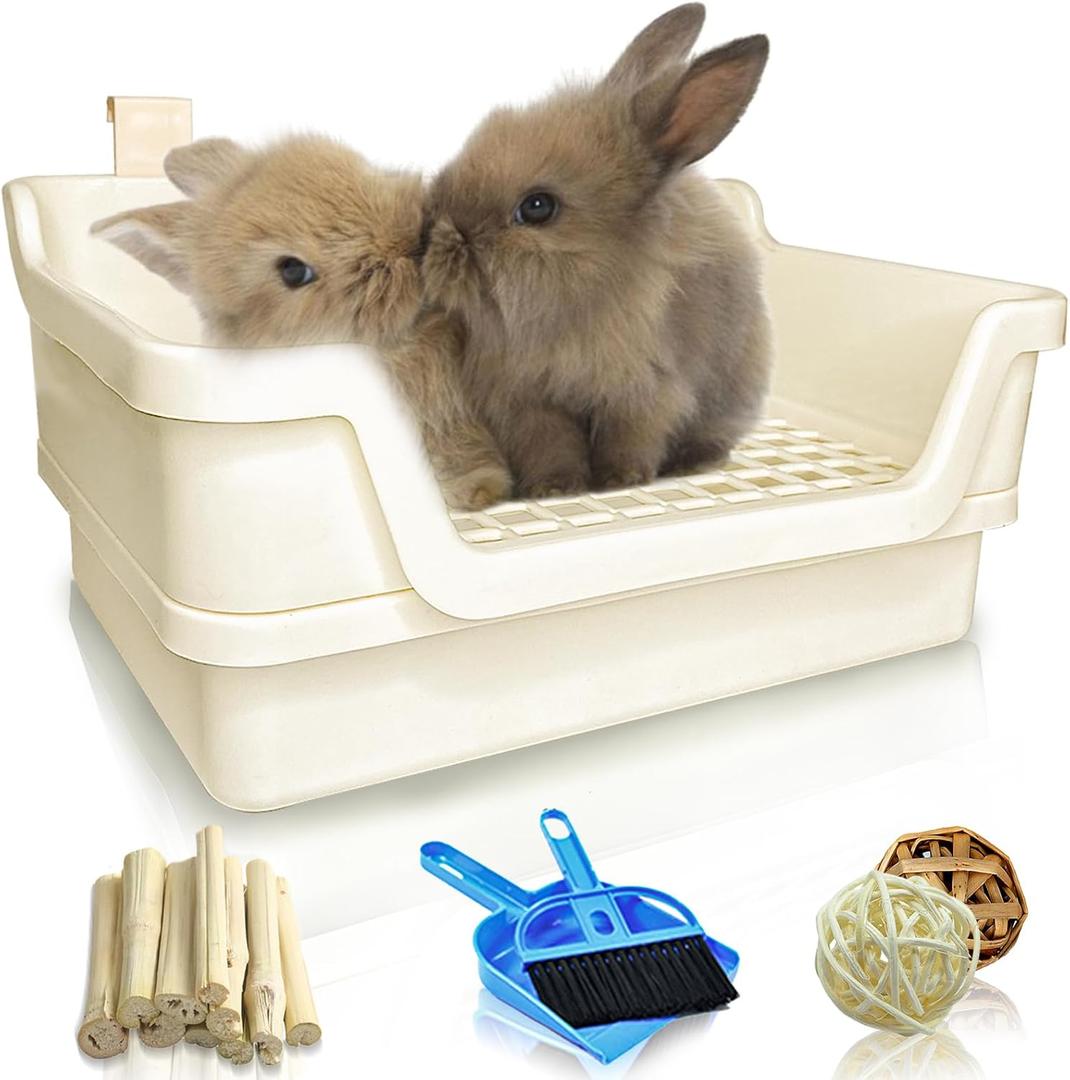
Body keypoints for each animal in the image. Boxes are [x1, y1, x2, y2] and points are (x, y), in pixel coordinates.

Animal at [423, 3, 773, 497]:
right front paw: (556, 488)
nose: (435, 235)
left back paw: (693, 463)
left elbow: (629, 438)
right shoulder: (528, 402)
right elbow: (549, 446)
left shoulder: (645, 390)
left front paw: (619, 480)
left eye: (537, 207)